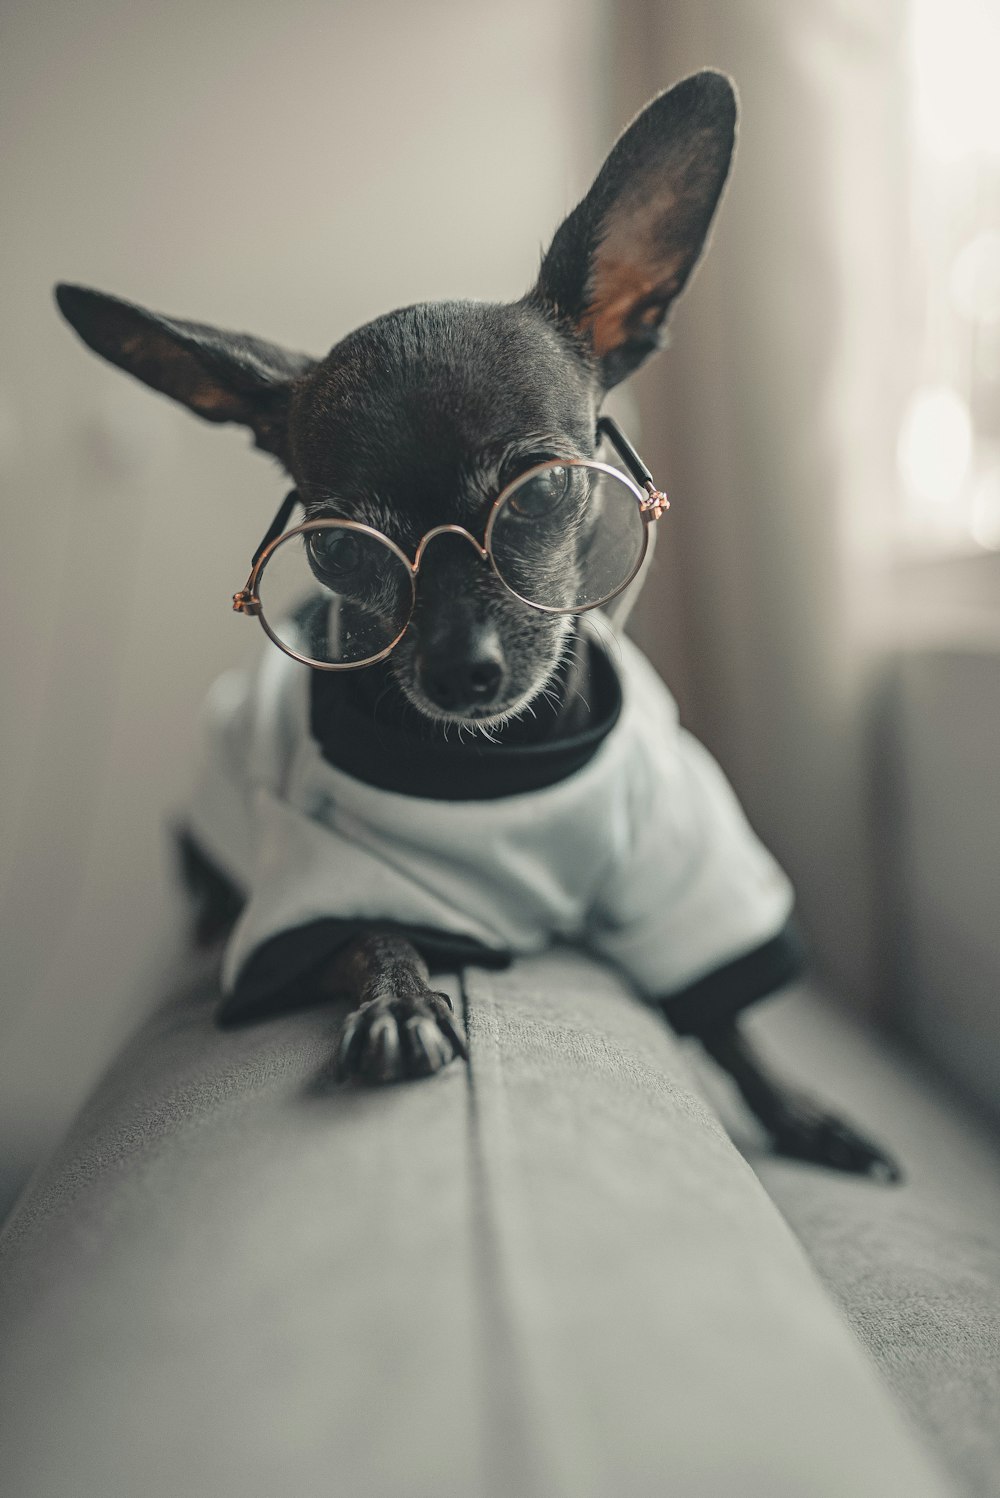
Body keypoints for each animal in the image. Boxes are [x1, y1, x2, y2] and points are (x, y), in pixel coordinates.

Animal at [54, 73, 898, 1180]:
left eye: (539, 491)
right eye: (340, 549)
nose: (464, 670)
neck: (503, 761)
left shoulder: (681, 870)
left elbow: (722, 1016)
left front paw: (797, 1113)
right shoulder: (316, 881)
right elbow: (369, 933)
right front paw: (402, 1001)